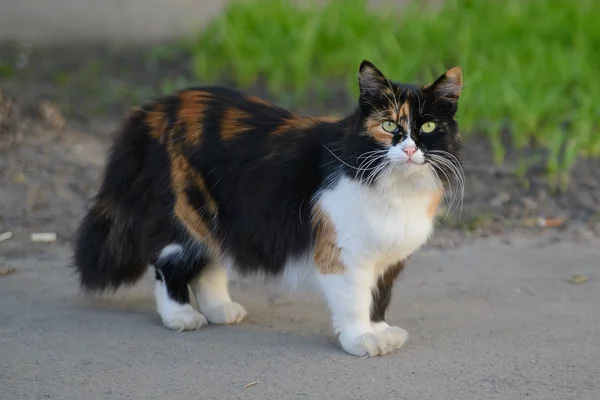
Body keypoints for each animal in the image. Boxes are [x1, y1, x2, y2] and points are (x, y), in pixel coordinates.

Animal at [71, 61, 464, 358]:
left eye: (428, 125)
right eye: (389, 125)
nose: (410, 149)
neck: (397, 189)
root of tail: (153, 108)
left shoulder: (390, 257)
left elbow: (379, 299)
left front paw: (381, 332)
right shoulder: (343, 252)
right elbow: (355, 302)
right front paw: (361, 340)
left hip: (220, 217)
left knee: (209, 264)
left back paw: (221, 310)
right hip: (184, 214)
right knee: (168, 266)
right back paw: (181, 315)